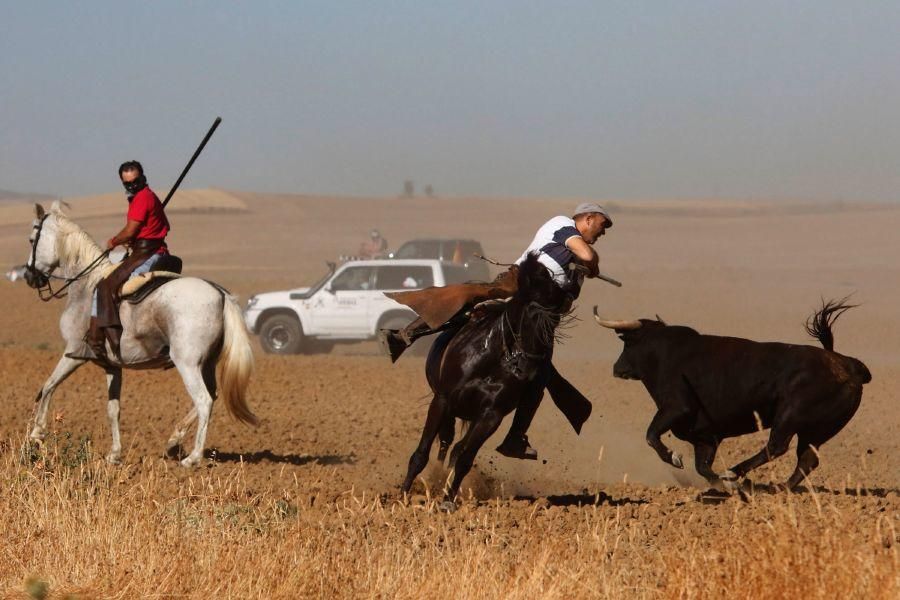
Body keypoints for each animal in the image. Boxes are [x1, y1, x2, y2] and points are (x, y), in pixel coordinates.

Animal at [23, 204, 256, 466]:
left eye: (32, 239)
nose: (29, 277)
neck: (85, 286)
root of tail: (220, 293)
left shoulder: (73, 354)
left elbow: (48, 386)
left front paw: (36, 434)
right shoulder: (112, 365)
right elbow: (113, 409)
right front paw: (114, 454)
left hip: (188, 364)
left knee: (204, 400)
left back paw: (193, 457)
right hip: (206, 364)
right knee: (212, 396)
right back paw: (174, 440)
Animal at [400, 254, 576, 510]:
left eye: (556, 320)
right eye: (528, 315)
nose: (529, 368)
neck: (490, 358)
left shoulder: (490, 416)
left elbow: (465, 458)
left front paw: (448, 500)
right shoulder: (442, 400)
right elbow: (422, 453)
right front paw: (402, 494)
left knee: (456, 447)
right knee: (445, 441)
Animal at [596, 300, 872, 492]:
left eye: (627, 343)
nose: (616, 368)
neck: (664, 353)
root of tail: (847, 364)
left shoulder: (676, 408)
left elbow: (652, 436)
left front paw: (677, 459)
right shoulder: (706, 436)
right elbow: (702, 466)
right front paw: (723, 485)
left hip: (790, 416)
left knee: (777, 447)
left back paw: (735, 472)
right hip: (816, 431)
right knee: (806, 460)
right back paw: (779, 487)